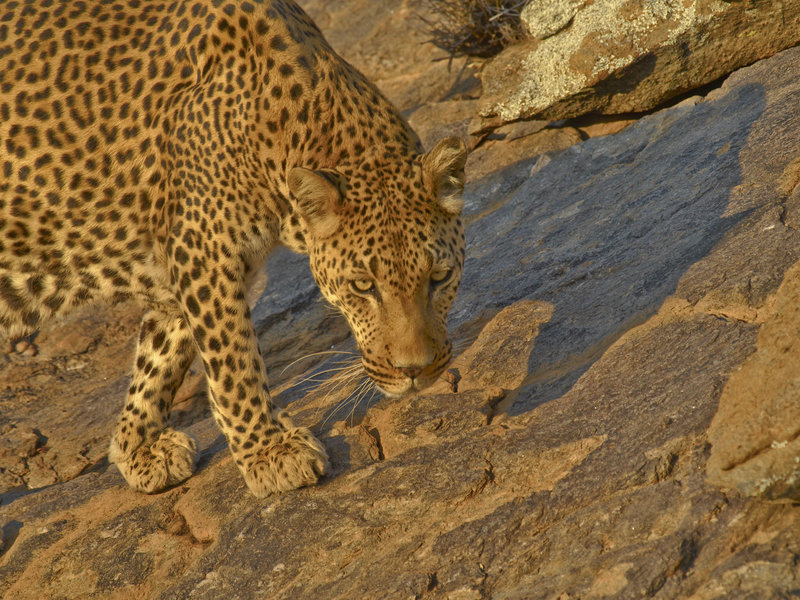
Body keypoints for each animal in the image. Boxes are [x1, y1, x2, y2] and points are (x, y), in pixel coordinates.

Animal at [0, 0, 467, 497]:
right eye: (363, 286)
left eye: (439, 278)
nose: (415, 371)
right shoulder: (202, 250)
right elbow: (233, 360)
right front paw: (269, 451)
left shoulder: (185, 265)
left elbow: (161, 356)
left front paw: (137, 447)